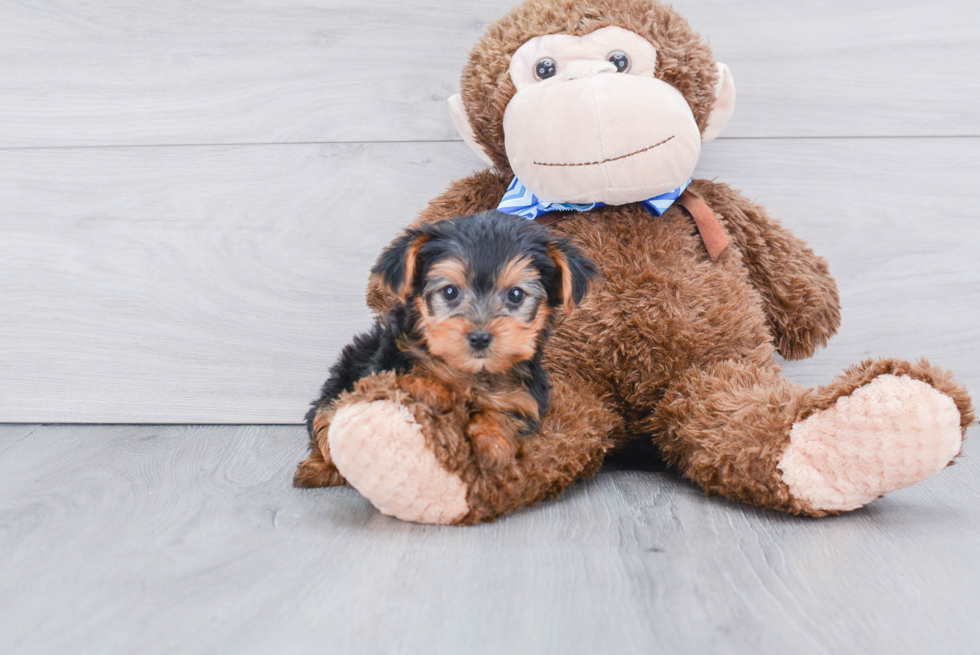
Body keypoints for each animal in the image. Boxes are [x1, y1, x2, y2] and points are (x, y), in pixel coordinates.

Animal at [290, 210, 596, 486]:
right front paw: (437, 392)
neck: (471, 372)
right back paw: (319, 468)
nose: (480, 337)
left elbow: (506, 415)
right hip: (341, 380)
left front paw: (494, 446)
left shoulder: (525, 399)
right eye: (450, 292)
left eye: (516, 295)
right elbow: (411, 381)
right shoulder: (386, 368)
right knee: (325, 419)